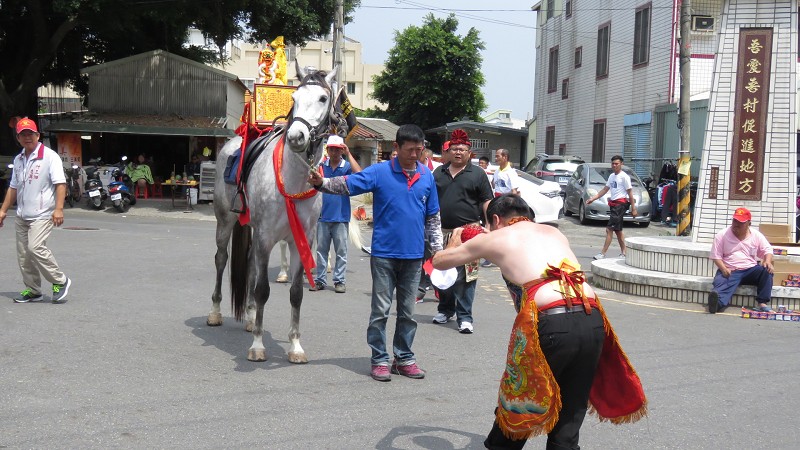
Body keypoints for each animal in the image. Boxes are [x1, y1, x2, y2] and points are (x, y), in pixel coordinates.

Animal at [208, 64, 336, 362]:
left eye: (323, 98)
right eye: (295, 98)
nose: (296, 136)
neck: (293, 181)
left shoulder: (302, 240)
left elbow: (296, 293)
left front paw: (296, 346)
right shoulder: (266, 237)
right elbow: (262, 289)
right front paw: (257, 346)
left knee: (250, 266)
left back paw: (251, 317)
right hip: (226, 220)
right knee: (222, 259)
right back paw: (216, 312)